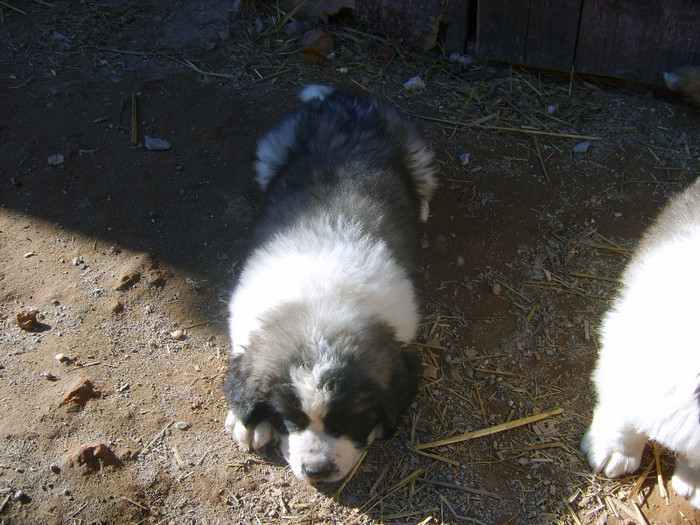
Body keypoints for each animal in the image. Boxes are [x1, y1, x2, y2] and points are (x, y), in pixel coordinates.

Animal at [223, 86, 438, 484]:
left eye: (351, 420)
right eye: (289, 419)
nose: (317, 471)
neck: (320, 305)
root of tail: (345, 98)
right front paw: (247, 423)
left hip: (416, 153)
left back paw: (422, 206)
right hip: (272, 152)